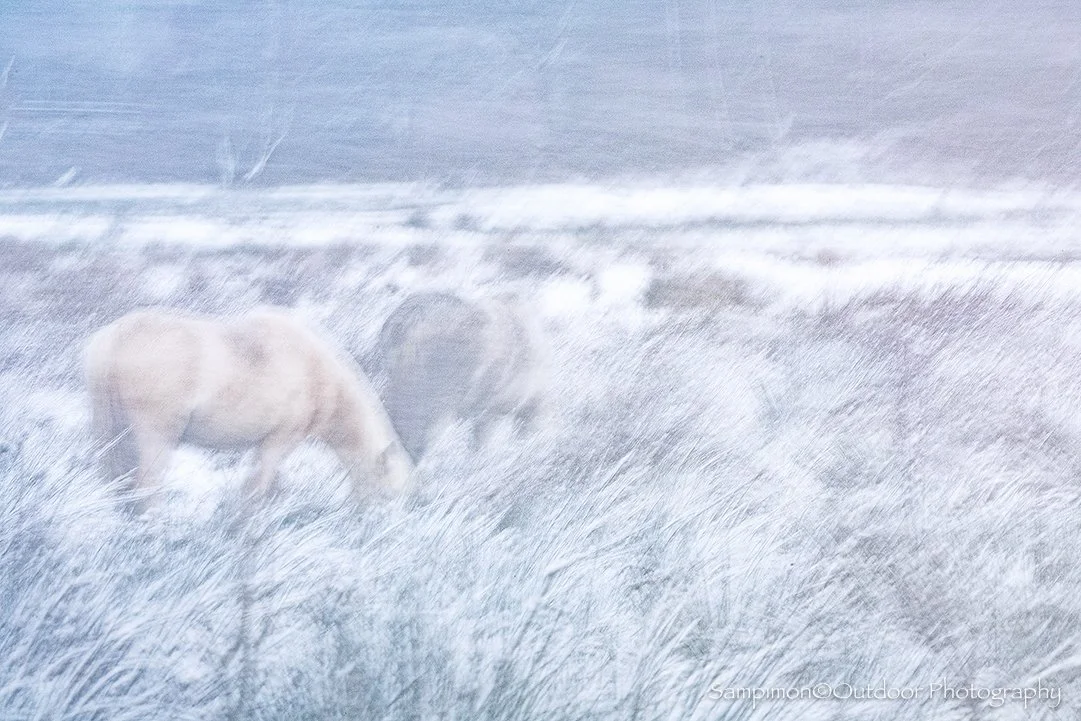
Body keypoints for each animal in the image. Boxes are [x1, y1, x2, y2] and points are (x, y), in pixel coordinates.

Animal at [85, 307, 413, 511]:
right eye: (388, 494)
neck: (320, 377)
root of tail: (111, 342)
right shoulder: (283, 433)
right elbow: (259, 483)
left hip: (110, 423)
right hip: (156, 423)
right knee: (149, 480)